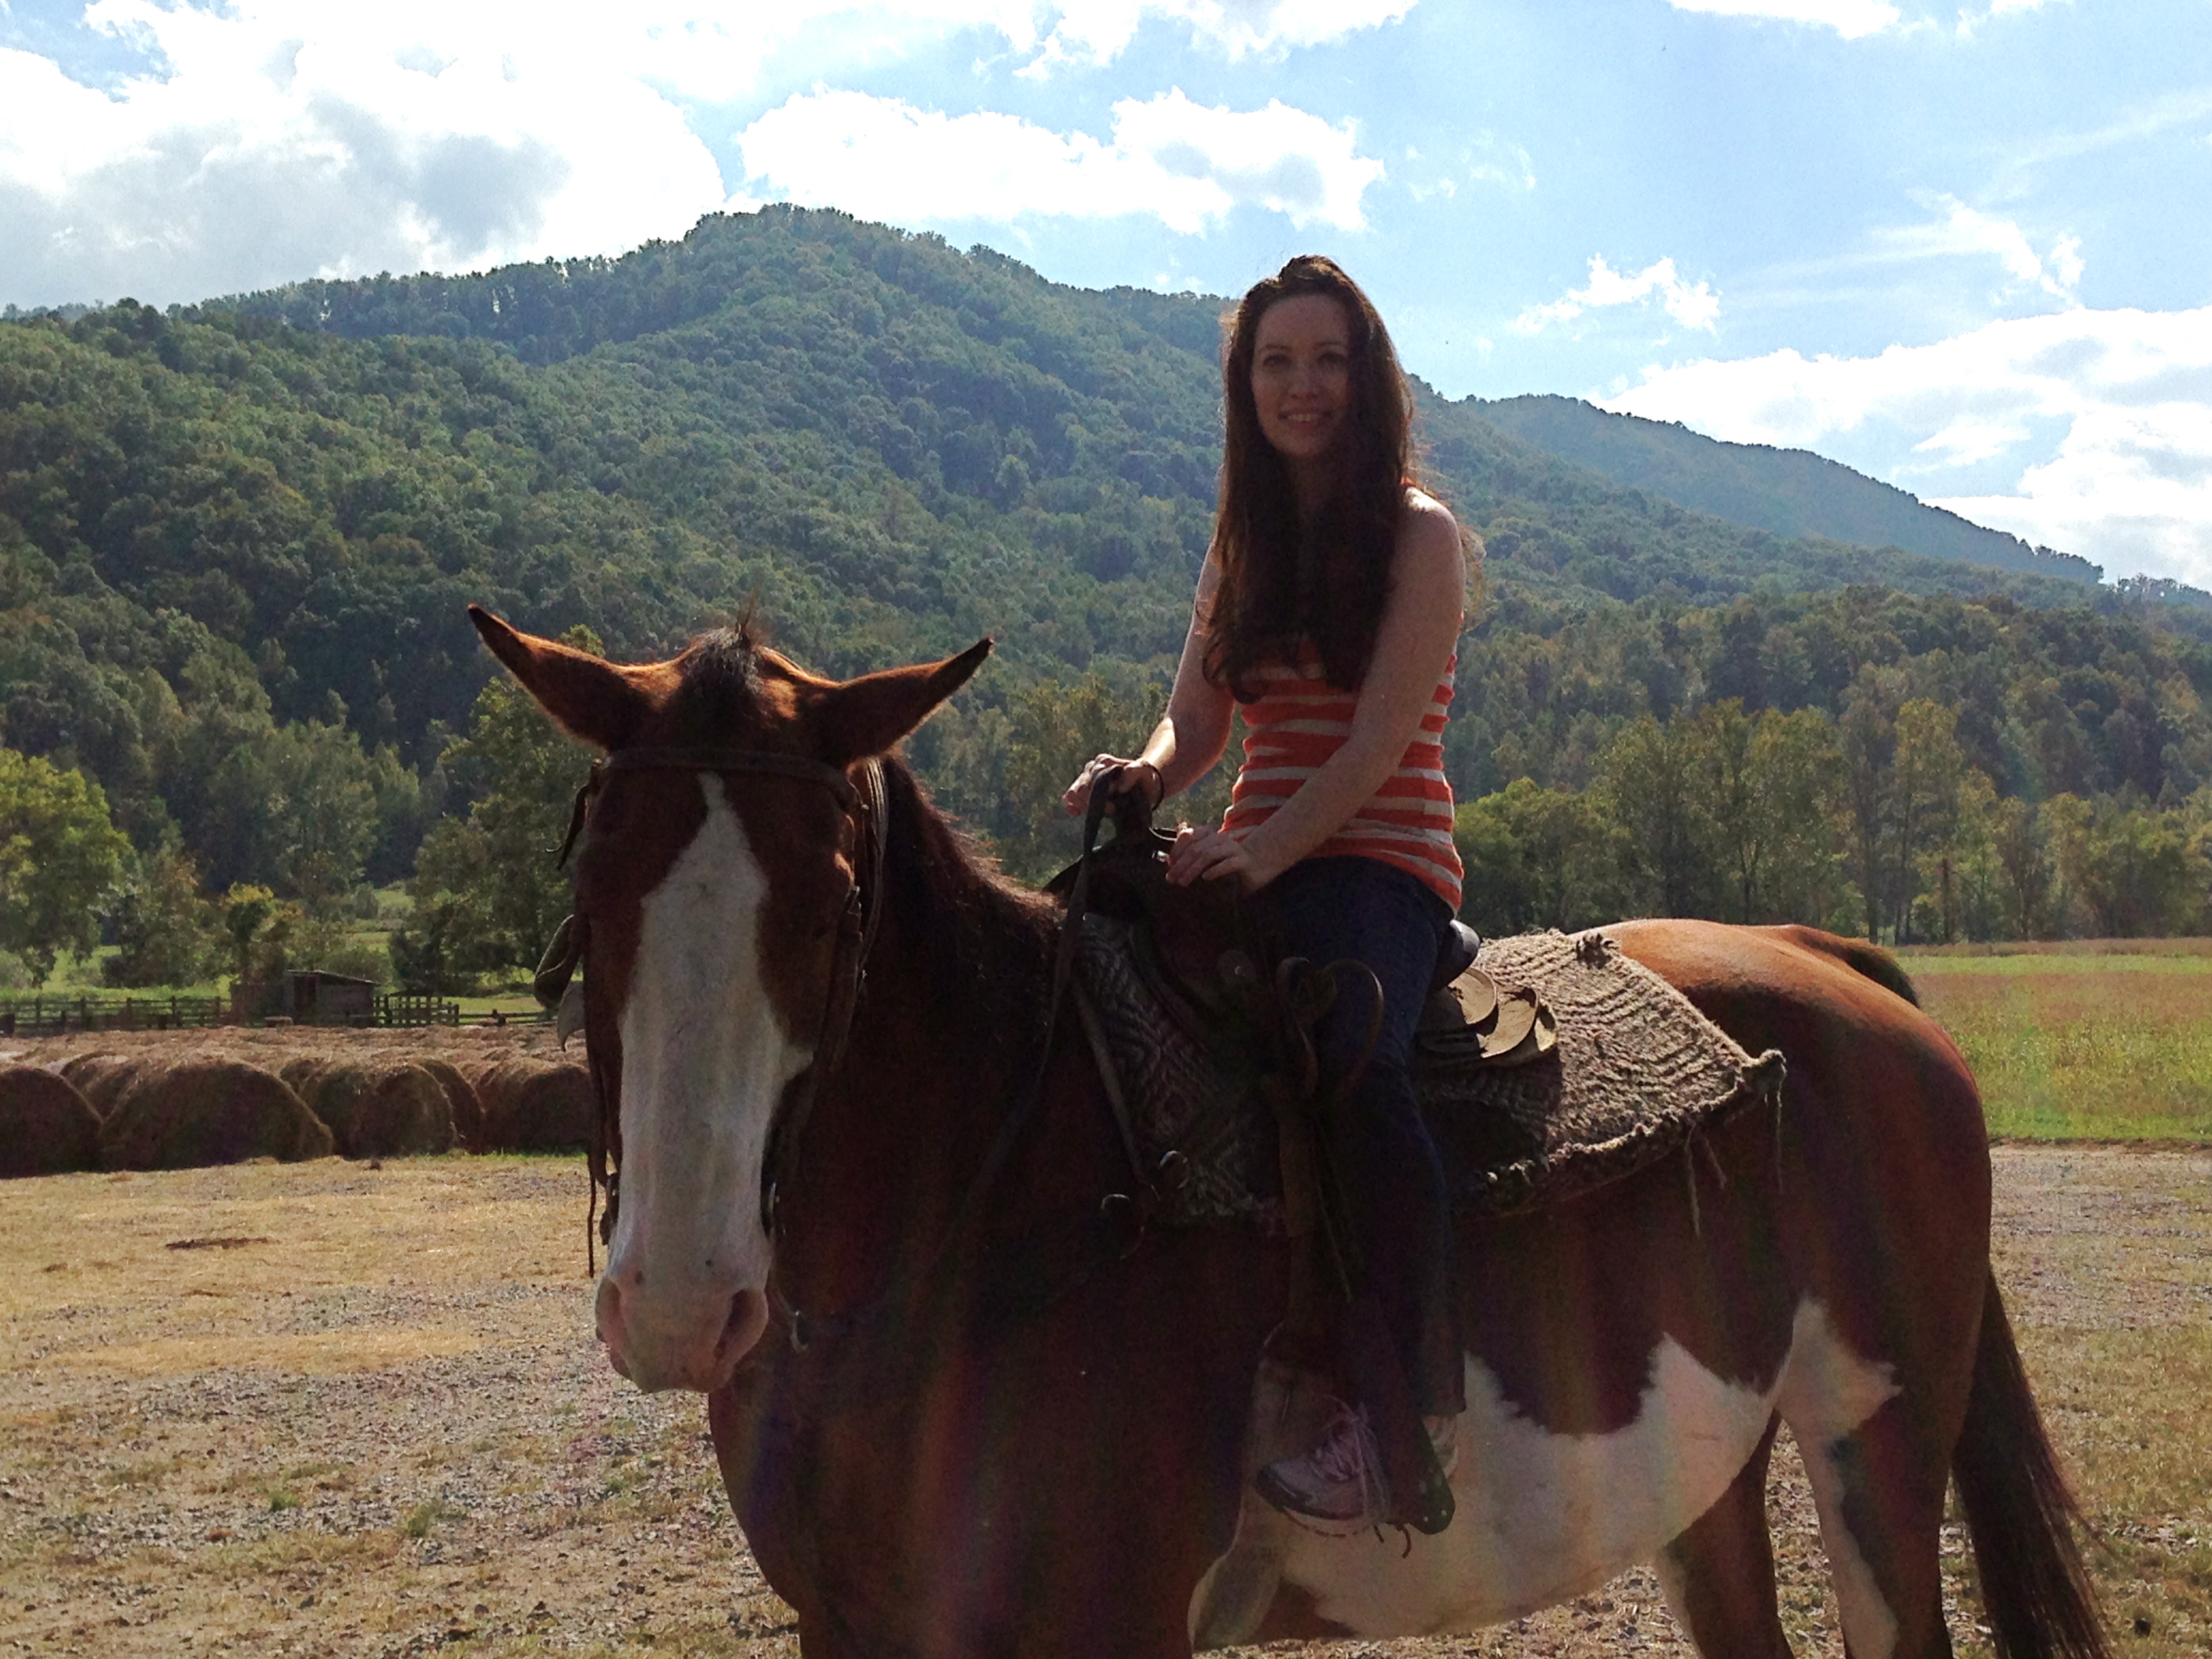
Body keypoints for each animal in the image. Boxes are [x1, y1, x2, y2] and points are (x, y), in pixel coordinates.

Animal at [469, 605, 2108, 1659]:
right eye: (593, 895)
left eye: (826, 909)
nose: (680, 1306)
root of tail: (1832, 962)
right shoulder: (843, 1622)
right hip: (1707, 1466)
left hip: (1875, 1432)